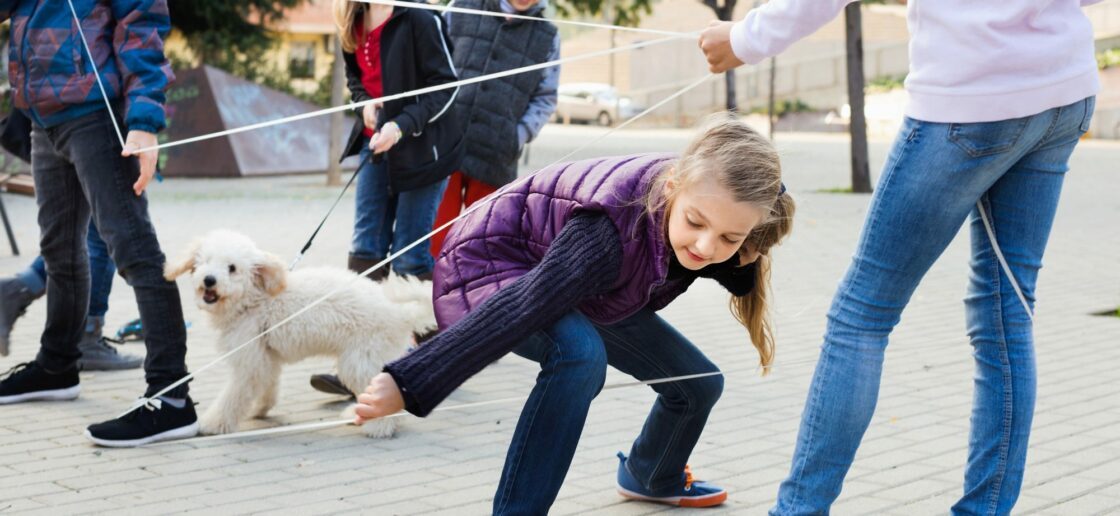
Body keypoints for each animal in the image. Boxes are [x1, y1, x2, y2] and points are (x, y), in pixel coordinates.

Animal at [163, 231, 434, 436]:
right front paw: (260, 408)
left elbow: (234, 395)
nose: (209, 280)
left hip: (361, 359)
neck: (254, 300)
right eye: (205, 261)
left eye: (232, 268)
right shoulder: (265, 357)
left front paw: (213, 423)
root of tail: (399, 313)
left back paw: (379, 426)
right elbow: (268, 384)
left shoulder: (249, 361)